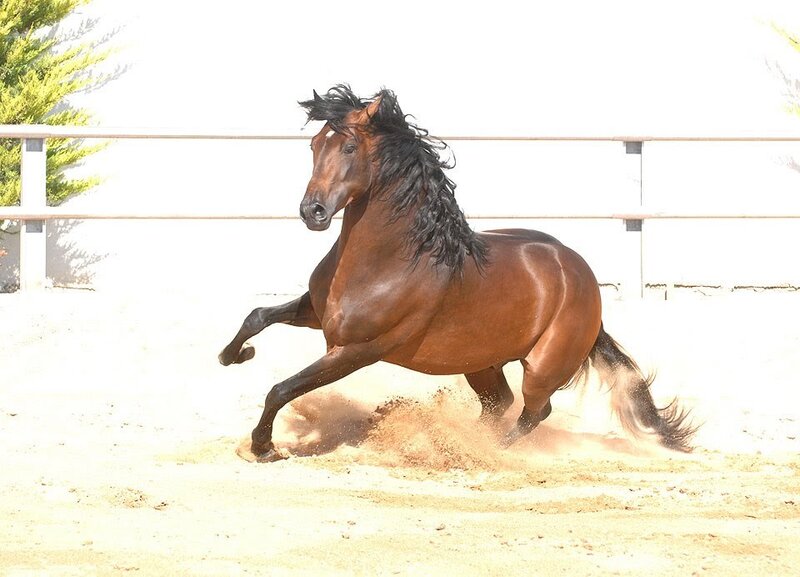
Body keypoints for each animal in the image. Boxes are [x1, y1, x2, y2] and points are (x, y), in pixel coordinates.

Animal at [219, 84, 696, 462]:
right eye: (315, 145)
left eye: (349, 148)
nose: (312, 212)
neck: (389, 262)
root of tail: (582, 277)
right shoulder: (319, 315)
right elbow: (257, 316)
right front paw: (235, 355)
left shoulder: (356, 350)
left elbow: (282, 389)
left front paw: (263, 448)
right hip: (480, 361)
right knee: (500, 403)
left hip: (543, 367)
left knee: (533, 411)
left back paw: (483, 450)